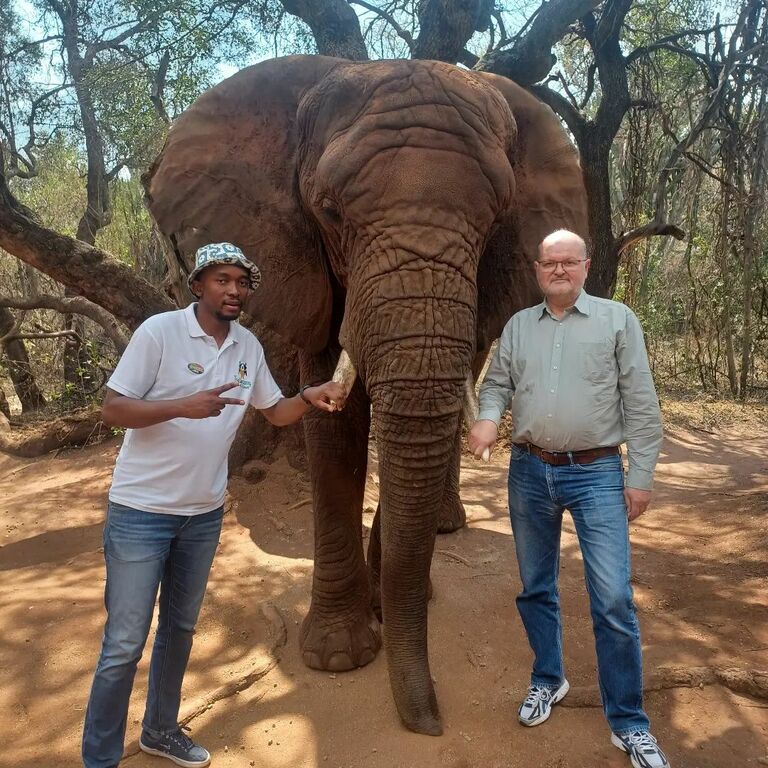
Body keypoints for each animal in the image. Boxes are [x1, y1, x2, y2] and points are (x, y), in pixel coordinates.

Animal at [143, 55, 588, 736]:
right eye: (328, 212)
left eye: (496, 218)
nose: (431, 723)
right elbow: (335, 433)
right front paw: (338, 655)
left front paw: (388, 603)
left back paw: (443, 528)